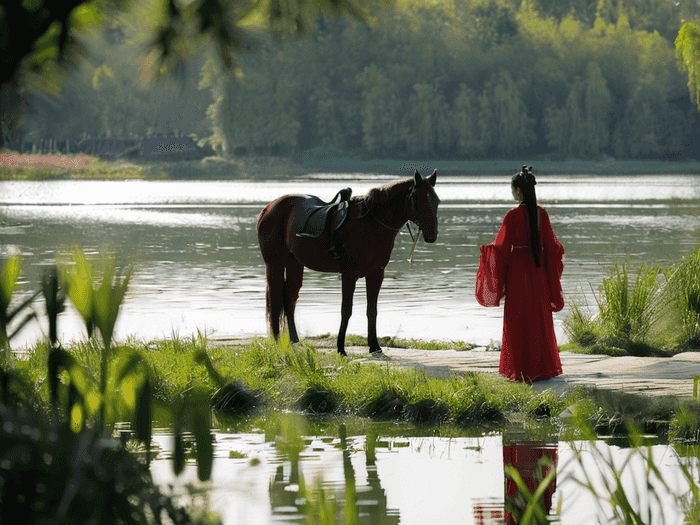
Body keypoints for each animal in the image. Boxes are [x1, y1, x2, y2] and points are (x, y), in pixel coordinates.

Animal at [258, 170, 440, 354]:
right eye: (418, 199)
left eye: (437, 200)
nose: (432, 235)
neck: (369, 224)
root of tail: (268, 208)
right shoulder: (349, 274)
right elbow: (346, 310)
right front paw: (340, 348)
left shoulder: (376, 273)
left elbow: (372, 310)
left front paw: (374, 346)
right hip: (275, 264)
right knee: (276, 301)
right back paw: (276, 341)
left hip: (294, 263)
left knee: (290, 299)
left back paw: (295, 340)